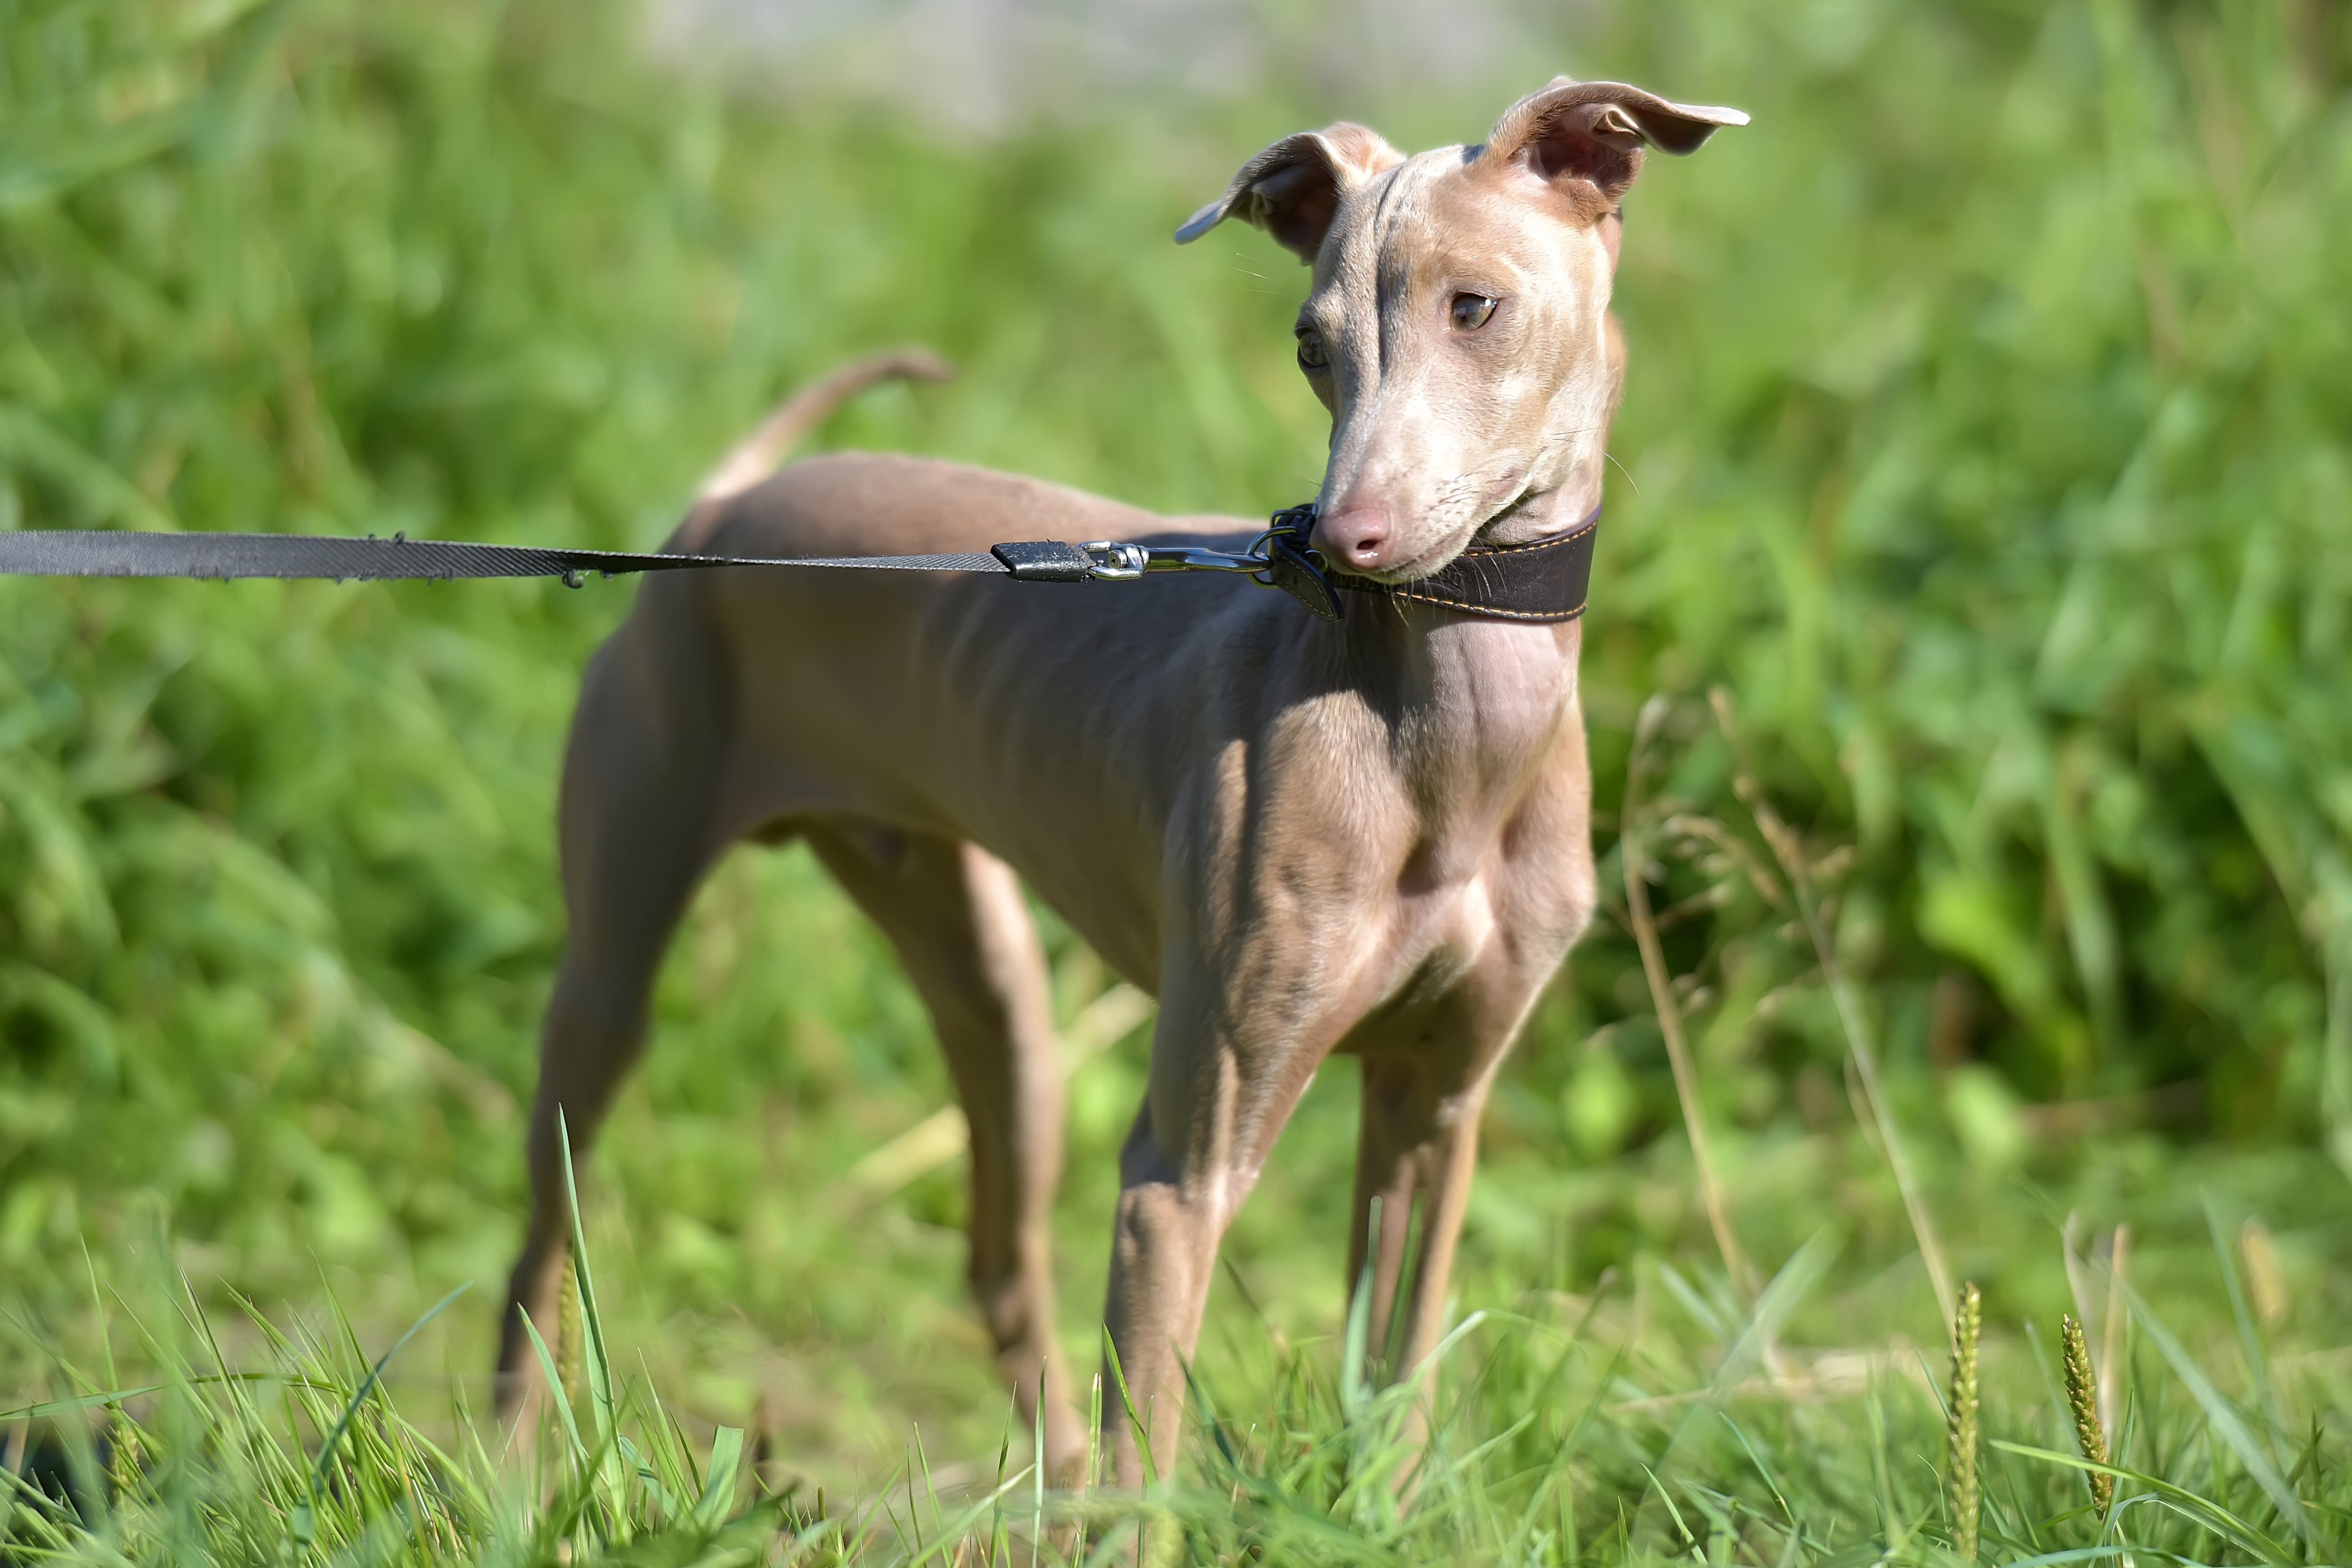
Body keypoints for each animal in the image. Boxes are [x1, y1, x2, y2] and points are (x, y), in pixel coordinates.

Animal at [496, 80, 1750, 1495]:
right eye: (1311, 344)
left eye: (1473, 305)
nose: (1343, 541)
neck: (1444, 731)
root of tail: (719, 509)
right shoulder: (1177, 1177)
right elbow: (1148, 1464)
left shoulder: (1436, 1108)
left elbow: (1396, 1385)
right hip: (612, 973)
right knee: (542, 1241)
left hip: (999, 1003)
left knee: (997, 1260)